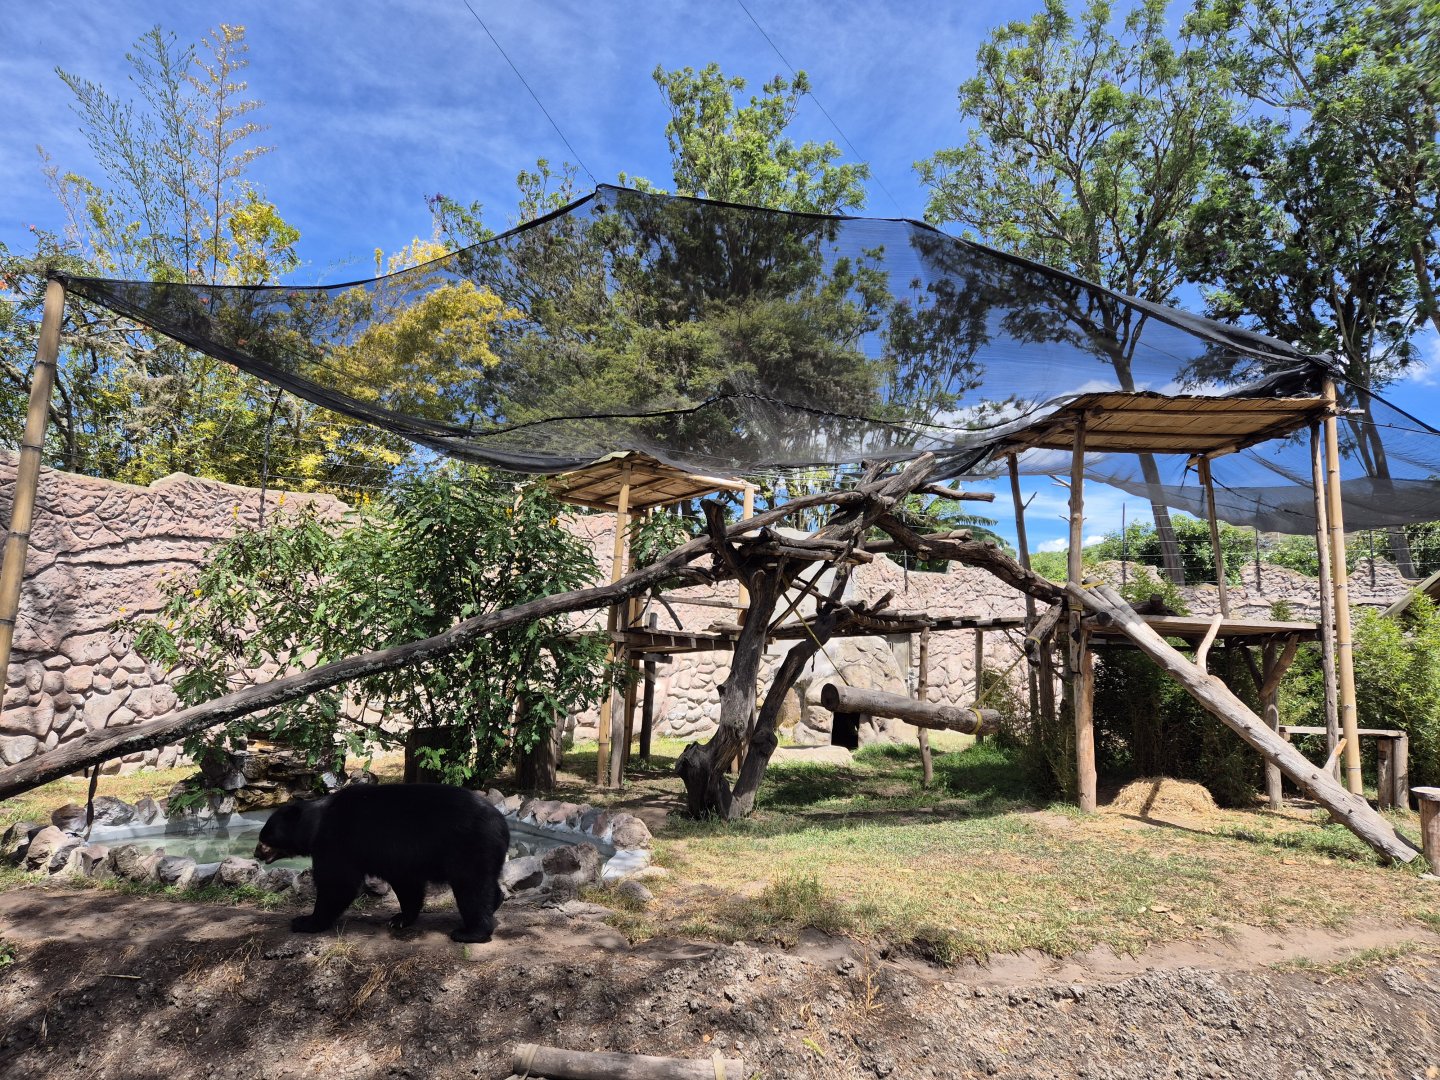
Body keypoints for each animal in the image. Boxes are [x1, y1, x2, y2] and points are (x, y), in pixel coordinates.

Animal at [255, 783, 509, 943]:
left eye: (264, 837)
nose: (257, 853)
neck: (317, 823)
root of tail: (502, 823)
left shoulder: (338, 841)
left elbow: (338, 883)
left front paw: (305, 921)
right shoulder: (399, 855)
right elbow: (407, 884)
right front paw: (400, 919)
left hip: (468, 845)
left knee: (471, 887)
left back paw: (470, 932)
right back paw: (495, 903)